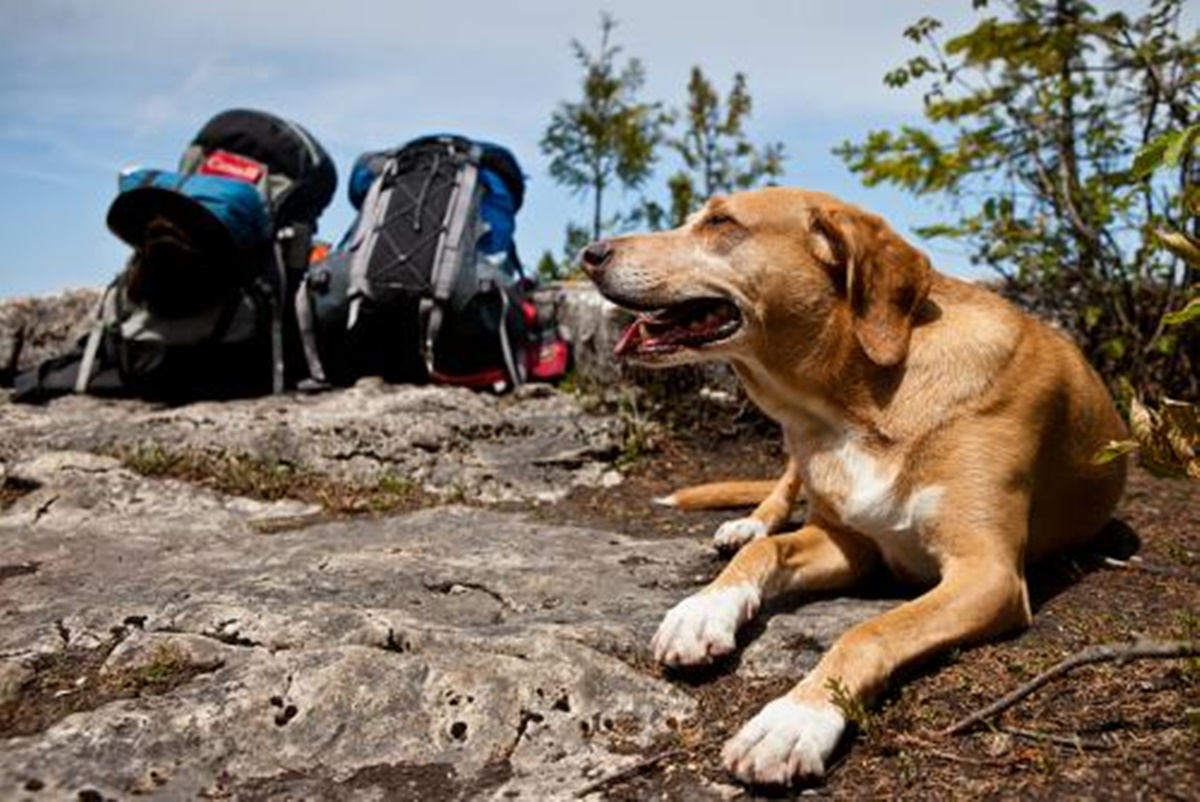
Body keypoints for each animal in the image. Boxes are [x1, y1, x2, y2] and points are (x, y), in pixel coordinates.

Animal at [580, 188, 1123, 782]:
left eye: (720, 221)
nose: (591, 253)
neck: (855, 405)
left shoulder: (987, 573)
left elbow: (871, 631)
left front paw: (795, 717)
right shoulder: (849, 542)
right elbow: (765, 552)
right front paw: (703, 609)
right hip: (794, 454)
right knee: (780, 493)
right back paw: (748, 523)